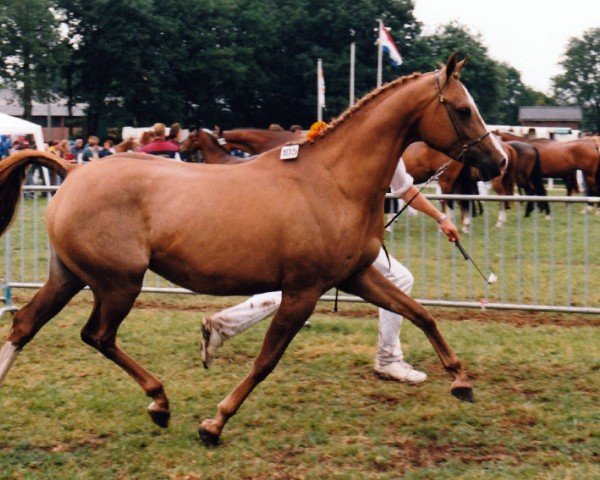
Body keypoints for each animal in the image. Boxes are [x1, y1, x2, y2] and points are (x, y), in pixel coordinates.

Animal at [0, 54, 506, 444]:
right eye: (463, 109)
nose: (498, 161)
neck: (334, 181)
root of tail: (72, 170)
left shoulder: (356, 276)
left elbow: (421, 314)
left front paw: (461, 381)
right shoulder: (304, 290)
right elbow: (266, 359)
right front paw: (214, 424)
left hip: (69, 275)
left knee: (25, 325)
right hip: (118, 283)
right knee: (97, 336)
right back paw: (160, 403)